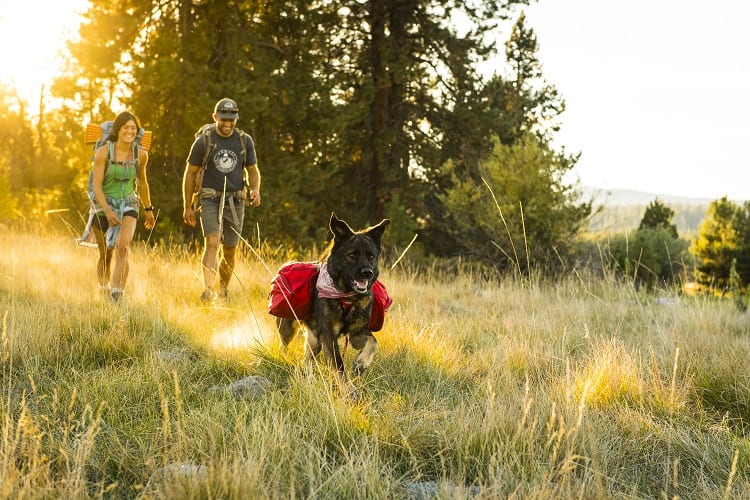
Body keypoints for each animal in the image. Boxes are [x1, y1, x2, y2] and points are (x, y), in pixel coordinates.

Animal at [278, 213, 394, 396]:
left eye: (371, 256)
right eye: (352, 255)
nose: (367, 273)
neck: (347, 298)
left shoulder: (357, 334)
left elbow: (373, 342)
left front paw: (361, 363)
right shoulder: (328, 336)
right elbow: (339, 366)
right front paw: (349, 391)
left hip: (315, 341)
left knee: (307, 360)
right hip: (289, 328)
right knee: (283, 345)